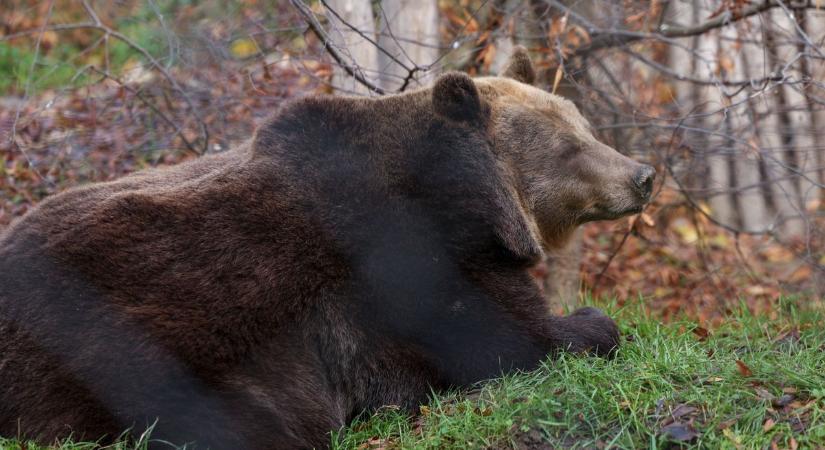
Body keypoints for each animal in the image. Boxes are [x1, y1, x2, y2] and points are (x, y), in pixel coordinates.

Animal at [1, 47, 656, 448]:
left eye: (585, 124)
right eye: (568, 145)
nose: (643, 174)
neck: (469, 201)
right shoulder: (402, 263)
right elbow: (506, 338)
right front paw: (594, 321)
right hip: (113, 339)